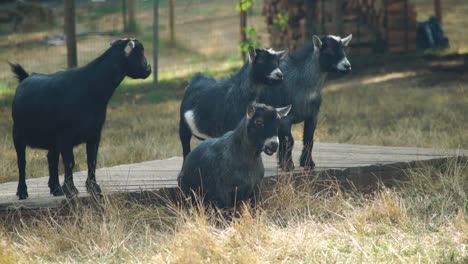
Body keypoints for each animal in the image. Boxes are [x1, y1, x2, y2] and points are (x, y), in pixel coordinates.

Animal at [10, 37, 151, 198]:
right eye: (138, 53)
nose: (148, 69)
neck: (89, 87)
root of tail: (26, 78)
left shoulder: (94, 134)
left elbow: (92, 160)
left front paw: (93, 188)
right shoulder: (66, 136)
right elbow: (70, 162)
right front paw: (71, 190)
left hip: (52, 140)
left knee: (51, 158)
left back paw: (56, 189)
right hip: (18, 134)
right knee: (22, 161)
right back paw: (23, 192)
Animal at [258, 34, 352, 171]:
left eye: (343, 49)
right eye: (329, 51)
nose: (347, 66)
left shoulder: (312, 116)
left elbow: (308, 139)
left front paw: (307, 164)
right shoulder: (286, 118)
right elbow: (289, 141)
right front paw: (288, 166)